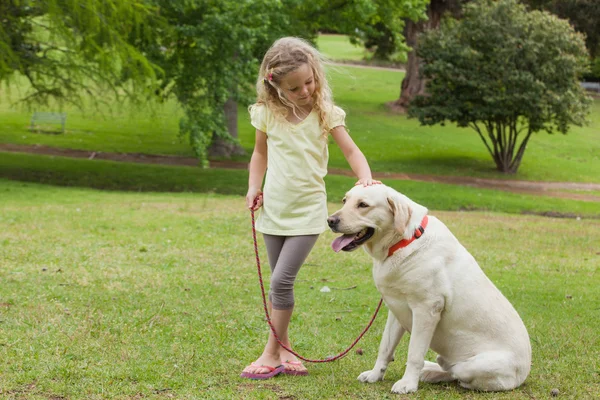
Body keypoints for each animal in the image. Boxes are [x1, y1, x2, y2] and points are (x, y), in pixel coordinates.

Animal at [328, 184, 528, 394]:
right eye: (344, 201)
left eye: (363, 205)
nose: (330, 221)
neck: (404, 242)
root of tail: (524, 373)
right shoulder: (396, 309)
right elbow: (385, 347)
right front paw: (375, 375)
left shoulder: (426, 310)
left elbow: (414, 353)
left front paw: (408, 383)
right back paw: (430, 370)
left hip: (473, 366)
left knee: (457, 374)